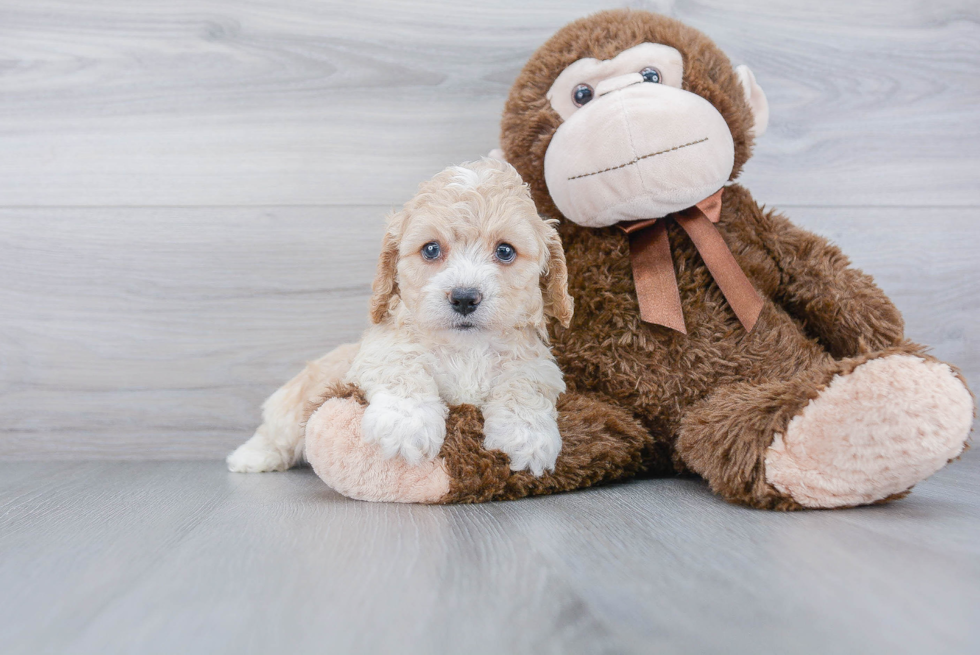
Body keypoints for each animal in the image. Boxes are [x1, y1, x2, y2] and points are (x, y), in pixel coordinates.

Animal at [229, 159, 576, 476]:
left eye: (505, 251)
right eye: (431, 249)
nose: (464, 297)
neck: (466, 348)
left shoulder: (536, 365)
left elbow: (524, 385)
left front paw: (526, 437)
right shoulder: (380, 350)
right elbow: (403, 368)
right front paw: (406, 424)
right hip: (292, 407)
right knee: (275, 433)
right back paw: (250, 457)